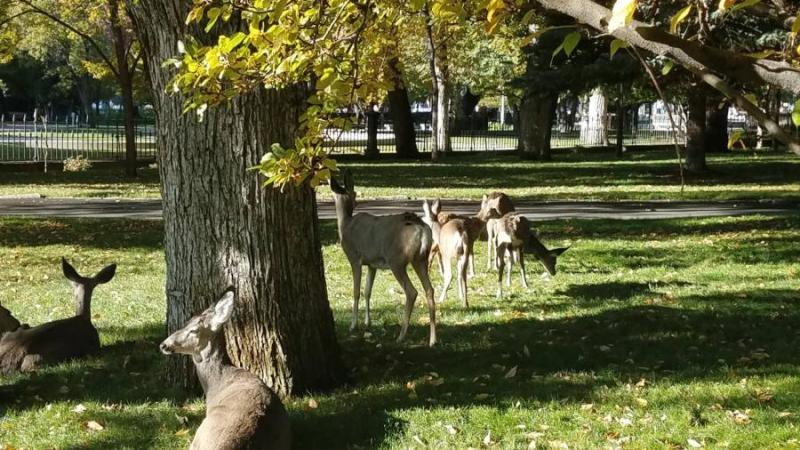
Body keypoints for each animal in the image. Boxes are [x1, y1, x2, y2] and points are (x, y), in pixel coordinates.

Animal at [331, 169, 437, 346]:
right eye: (355, 193)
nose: (357, 202)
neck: (345, 225)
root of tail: (422, 230)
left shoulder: (355, 258)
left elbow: (356, 291)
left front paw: (354, 325)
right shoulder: (371, 264)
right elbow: (367, 291)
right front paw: (368, 323)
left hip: (397, 260)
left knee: (411, 292)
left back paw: (401, 336)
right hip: (420, 259)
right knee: (429, 289)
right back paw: (433, 340)